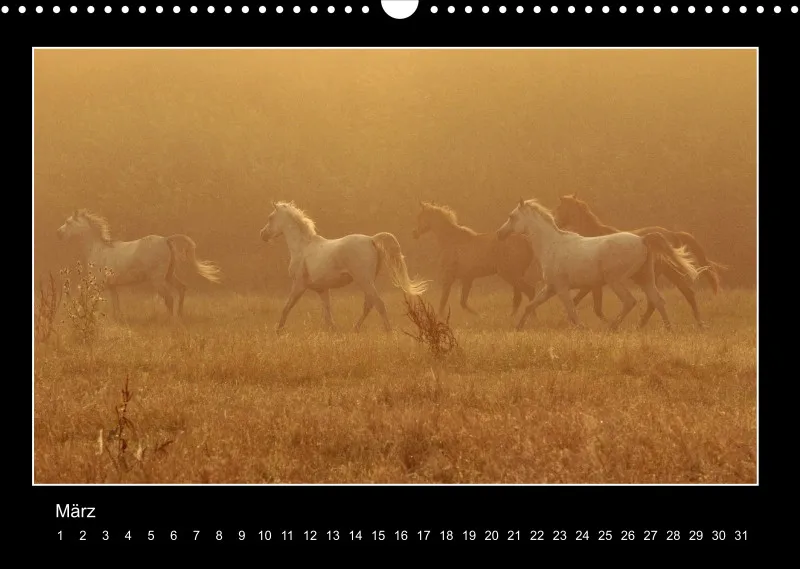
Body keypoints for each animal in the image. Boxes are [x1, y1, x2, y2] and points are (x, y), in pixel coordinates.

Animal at [56, 209, 222, 318]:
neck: (98, 249)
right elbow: (116, 306)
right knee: (181, 289)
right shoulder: (112, 286)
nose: (58, 233)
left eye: (68, 222)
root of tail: (165, 239)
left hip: (157, 280)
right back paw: (180, 315)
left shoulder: (97, 283)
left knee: (169, 298)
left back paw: (170, 320)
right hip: (169, 275)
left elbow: (85, 298)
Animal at [260, 201, 429, 333]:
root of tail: (371, 239)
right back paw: (355, 329)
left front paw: (278, 330)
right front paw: (333, 332)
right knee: (368, 305)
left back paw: (388, 332)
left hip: (364, 280)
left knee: (378, 304)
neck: (302, 247)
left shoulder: (299, 285)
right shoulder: (322, 289)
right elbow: (328, 314)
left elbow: (286, 307)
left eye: (270, 218)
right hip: (367, 281)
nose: (263, 235)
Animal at [412, 201, 542, 317]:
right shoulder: (467, 278)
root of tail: (527, 242)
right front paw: (481, 316)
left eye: (420, 217)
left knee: (529, 291)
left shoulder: (449, 277)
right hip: (516, 275)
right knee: (519, 297)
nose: (414, 234)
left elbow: (443, 301)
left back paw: (530, 318)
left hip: (510, 275)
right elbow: (462, 302)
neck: (452, 240)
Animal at [496, 198, 704, 331]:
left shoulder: (562, 288)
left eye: (512, 216)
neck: (552, 244)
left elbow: (572, 311)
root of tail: (643, 239)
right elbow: (530, 306)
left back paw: (612, 327)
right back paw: (669, 330)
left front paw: (582, 329)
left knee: (630, 301)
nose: (500, 234)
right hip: (645, 279)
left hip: (616, 280)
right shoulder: (551, 287)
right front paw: (518, 328)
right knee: (658, 301)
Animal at [553, 193, 726, 327]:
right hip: (666, 272)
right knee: (685, 294)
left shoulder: (593, 283)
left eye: (560, 208)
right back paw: (698, 324)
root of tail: (672, 234)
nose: (556, 223)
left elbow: (586, 304)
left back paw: (642, 325)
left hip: (655, 274)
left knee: (656, 301)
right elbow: (590, 305)